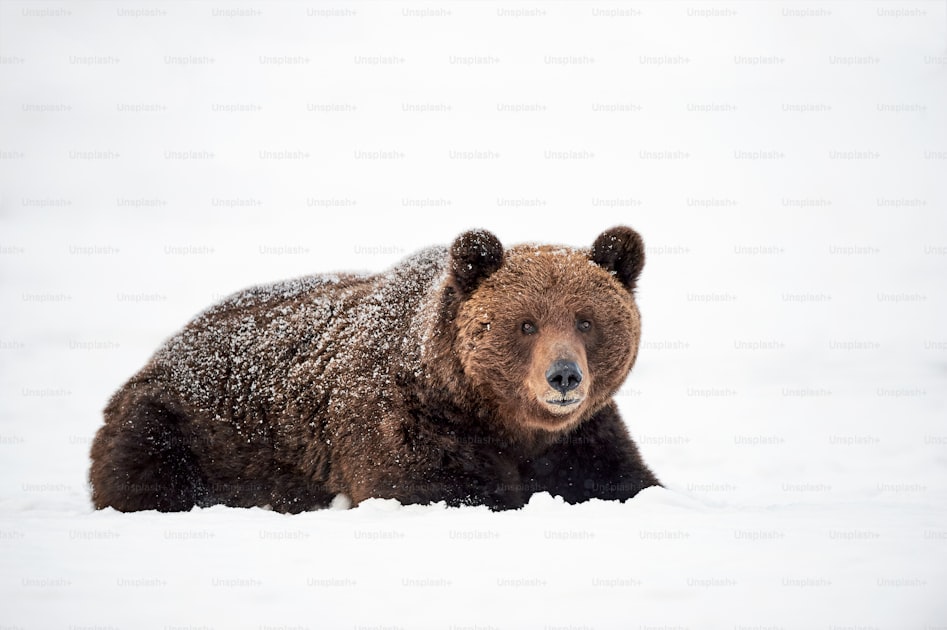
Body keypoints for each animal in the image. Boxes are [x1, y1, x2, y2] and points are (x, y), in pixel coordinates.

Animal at [89, 226, 660, 512]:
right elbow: (428, 488)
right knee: (145, 472)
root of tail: (165, 345)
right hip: (176, 424)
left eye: (585, 320)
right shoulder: (409, 423)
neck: (501, 422)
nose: (563, 376)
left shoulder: (581, 434)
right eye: (526, 324)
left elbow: (621, 479)